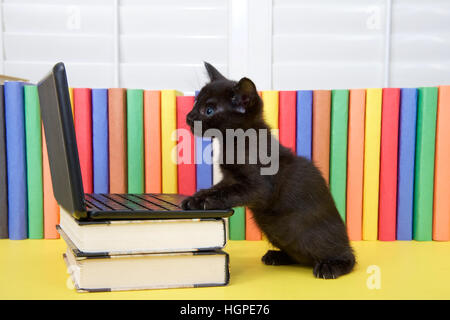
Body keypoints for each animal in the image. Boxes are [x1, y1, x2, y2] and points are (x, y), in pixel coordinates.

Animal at [182, 62, 356, 278]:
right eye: (196, 102)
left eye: (209, 110)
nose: (189, 117)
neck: (234, 142)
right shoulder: (229, 178)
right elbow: (219, 188)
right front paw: (198, 196)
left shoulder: (259, 187)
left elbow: (227, 193)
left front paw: (200, 201)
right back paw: (278, 256)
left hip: (318, 238)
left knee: (346, 256)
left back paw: (330, 266)